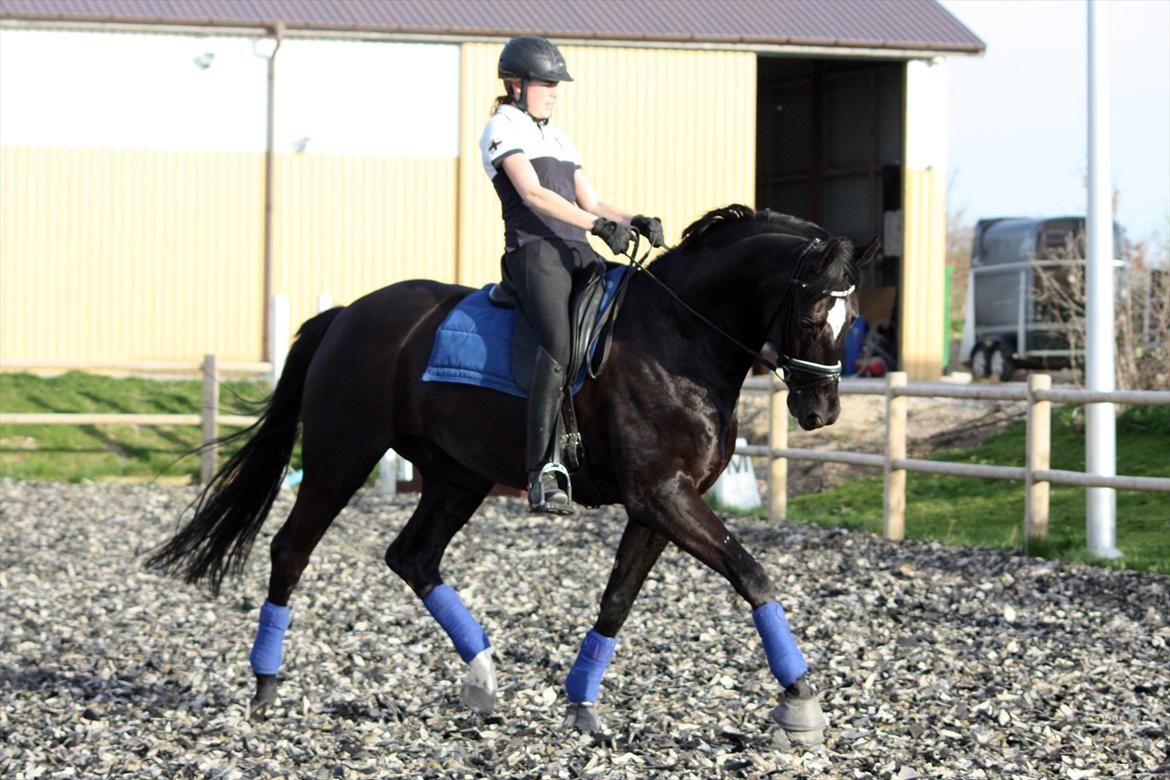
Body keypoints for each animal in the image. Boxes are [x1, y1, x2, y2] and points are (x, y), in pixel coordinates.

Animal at [148, 204, 879, 743]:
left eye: (852, 316)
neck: (678, 337)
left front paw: (583, 705)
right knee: (291, 549)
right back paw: (266, 686)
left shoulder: (661, 505)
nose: (821, 411)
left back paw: (482, 680)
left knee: (412, 556)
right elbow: (752, 574)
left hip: (456, 477)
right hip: (341, 458)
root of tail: (348, 313)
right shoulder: (662, 497)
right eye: (814, 312)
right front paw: (800, 705)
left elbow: (617, 600)